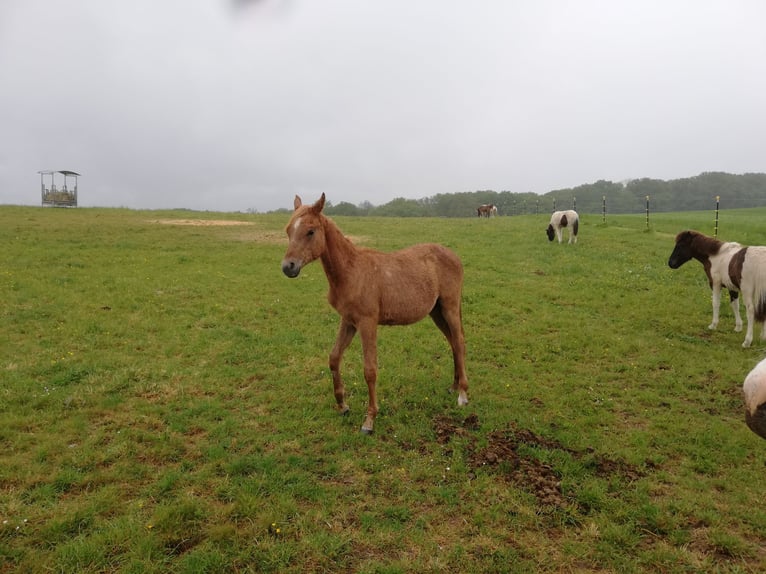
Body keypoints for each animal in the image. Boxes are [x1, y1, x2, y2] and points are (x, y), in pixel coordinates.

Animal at [281, 193, 470, 434]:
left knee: (459, 342)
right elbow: (334, 358)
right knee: (453, 342)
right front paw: (342, 405)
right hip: (436, 312)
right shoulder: (348, 321)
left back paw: (462, 395)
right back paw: (453, 386)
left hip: (450, 307)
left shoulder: (367, 323)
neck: (351, 272)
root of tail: (454, 256)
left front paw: (369, 420)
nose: (288, 267)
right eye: (288, 230)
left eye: (311, 231)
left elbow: (370, 370)